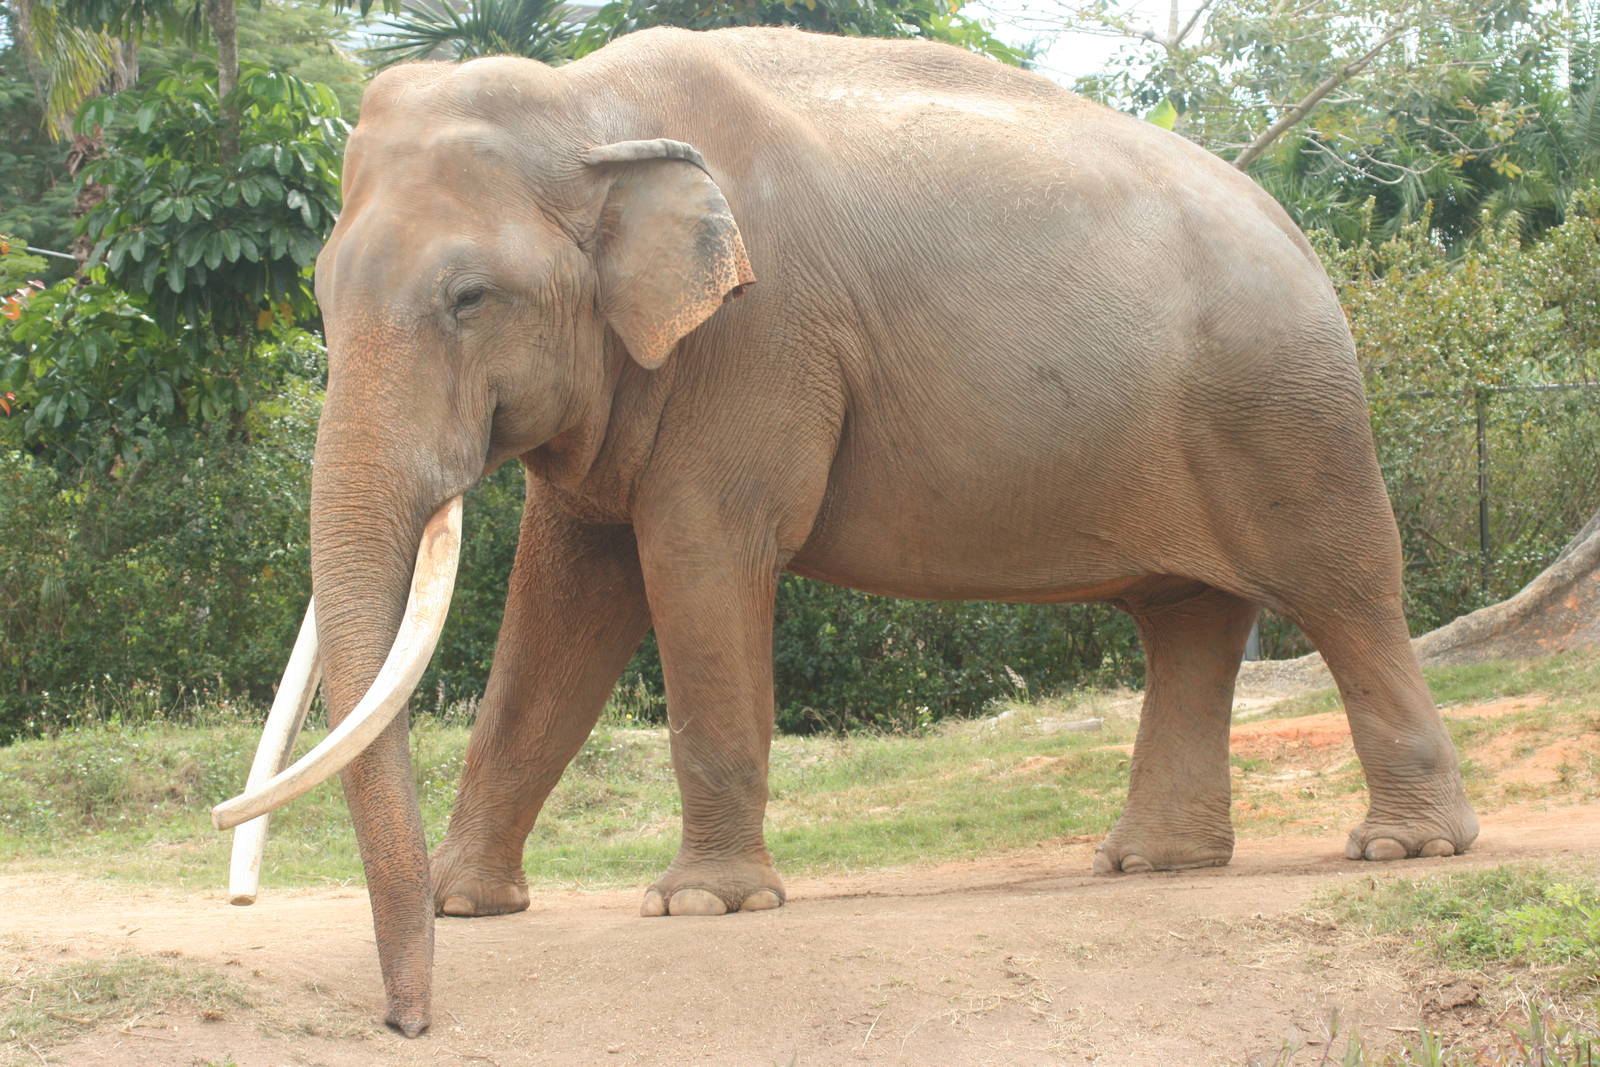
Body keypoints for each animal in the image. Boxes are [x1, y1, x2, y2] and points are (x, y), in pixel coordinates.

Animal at [213, 25, 1479, 1036]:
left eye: (469, 298)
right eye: (319, 291)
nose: (409, 1021)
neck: (590, 109)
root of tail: (1299, 232)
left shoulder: (756, 340)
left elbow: (699, 557)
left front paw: (702, 902)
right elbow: (563, 599)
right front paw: (465, 899)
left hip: (1289, 406)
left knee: (1345, 590)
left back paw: (1406, 848)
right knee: (1188, 618)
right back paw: (1152, 863)